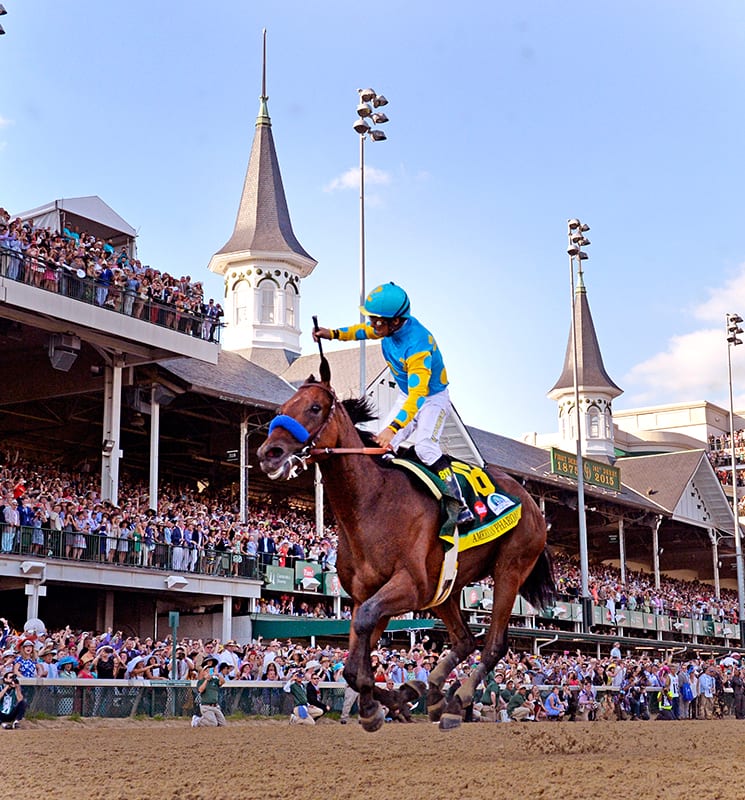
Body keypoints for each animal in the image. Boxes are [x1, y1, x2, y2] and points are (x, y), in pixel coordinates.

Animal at [256, 370, 552, 732]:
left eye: (314, 407)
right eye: (282, 408)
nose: (269, 452)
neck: (372, 502)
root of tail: (534, 506)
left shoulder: (409, 586)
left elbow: (364, 629)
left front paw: (385, 702)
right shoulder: (366, 594)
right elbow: (353, 664)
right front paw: (389, 699)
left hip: (510, 568)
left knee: (493, 643)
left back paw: (457, 701)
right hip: (446, 590)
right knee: (465, 639)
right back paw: (432, 691)